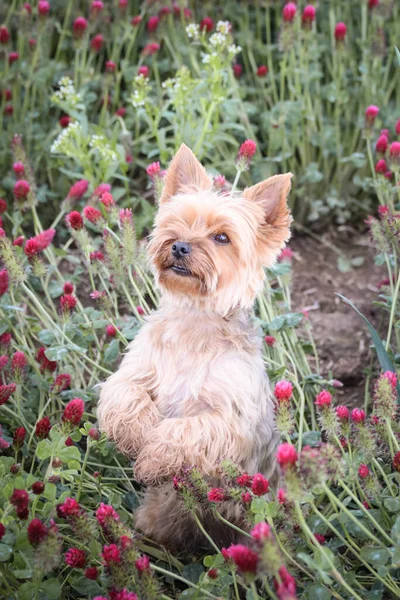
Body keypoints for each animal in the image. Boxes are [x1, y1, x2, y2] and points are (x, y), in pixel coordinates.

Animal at [97, 143, 290, 552]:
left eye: (222, 238)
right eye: (177, 223)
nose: (180, 245)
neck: (194, 322)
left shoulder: (230, 419)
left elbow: (184, 429)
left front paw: (152, 457)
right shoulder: (131, 373)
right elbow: (126, 395)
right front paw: (137, 437)